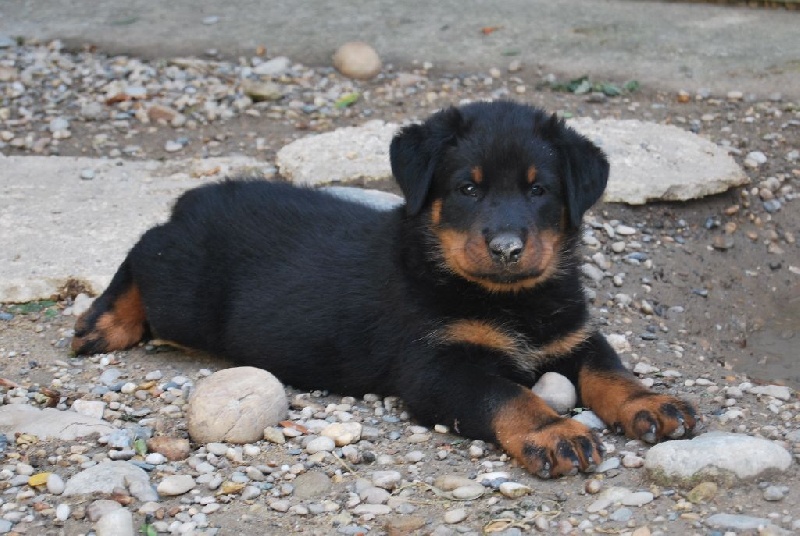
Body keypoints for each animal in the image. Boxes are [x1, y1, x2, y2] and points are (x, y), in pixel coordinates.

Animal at [73, 100, 692, 478]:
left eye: (539, 191)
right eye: (468, 188)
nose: (508, 249)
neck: (511, 299)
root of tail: (196, 198)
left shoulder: (574, 334)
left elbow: (611, 371)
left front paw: (652, 402)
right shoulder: (436, 368)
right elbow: (508, 395)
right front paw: (554, 431)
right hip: (185, 296)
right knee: (146, 245)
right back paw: (102, 321)